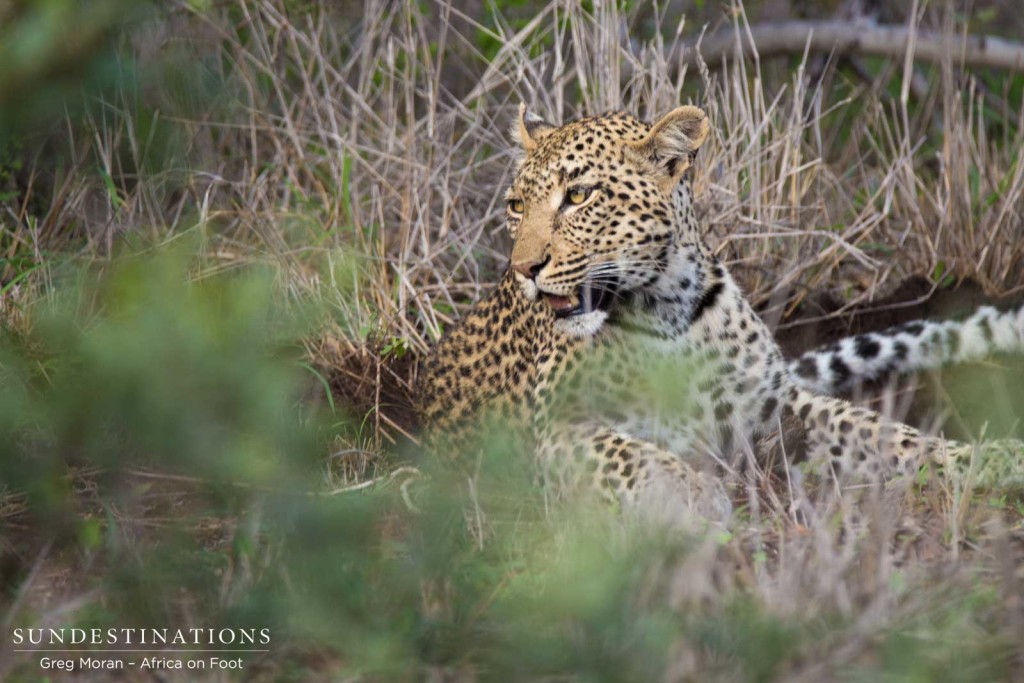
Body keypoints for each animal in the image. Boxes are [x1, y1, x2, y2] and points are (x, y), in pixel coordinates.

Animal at [413, 104, 1024, 520]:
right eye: (517, 206)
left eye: (579, 196)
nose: (524, 268)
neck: (665, 309)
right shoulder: (557, 430)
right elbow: (629, 453)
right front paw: (690, 493)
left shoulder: (775, 409)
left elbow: (881, 431)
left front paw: (988, 457)